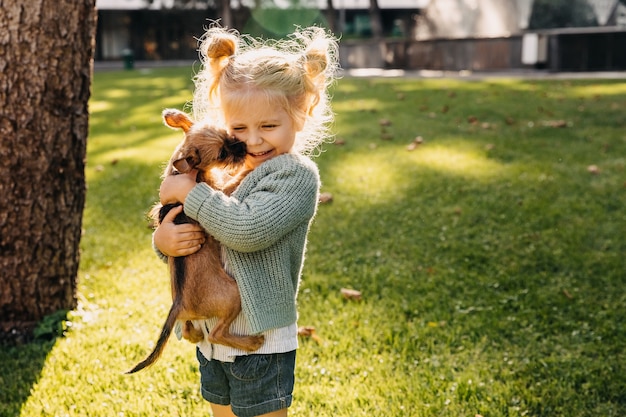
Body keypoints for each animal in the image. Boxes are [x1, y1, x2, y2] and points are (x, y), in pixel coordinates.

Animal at [128, 108, 262, 374]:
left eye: (229, 134)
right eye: (222, 154)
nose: (243, 148)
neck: (183, 171)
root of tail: (179, 304)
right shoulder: (220, 192)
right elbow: (232, 181)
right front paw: (248, 169)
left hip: (188, 314)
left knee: (190, 331)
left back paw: (198, 334)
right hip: (234, 295)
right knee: (217, 334)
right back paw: (251, 342)